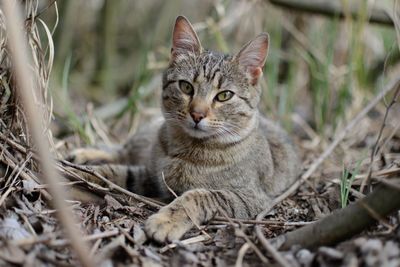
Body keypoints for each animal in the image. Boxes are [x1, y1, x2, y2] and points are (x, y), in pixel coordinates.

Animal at [68, 15, 300, 244]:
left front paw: (166, 220)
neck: (188, 149)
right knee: (122, 150)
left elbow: (199, 196)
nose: (197, 114)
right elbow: (114, 172)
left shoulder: (250, 198)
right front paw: (78, 172)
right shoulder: (151, 175)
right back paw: (83, 155)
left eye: (224, 95)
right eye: (186, 87)